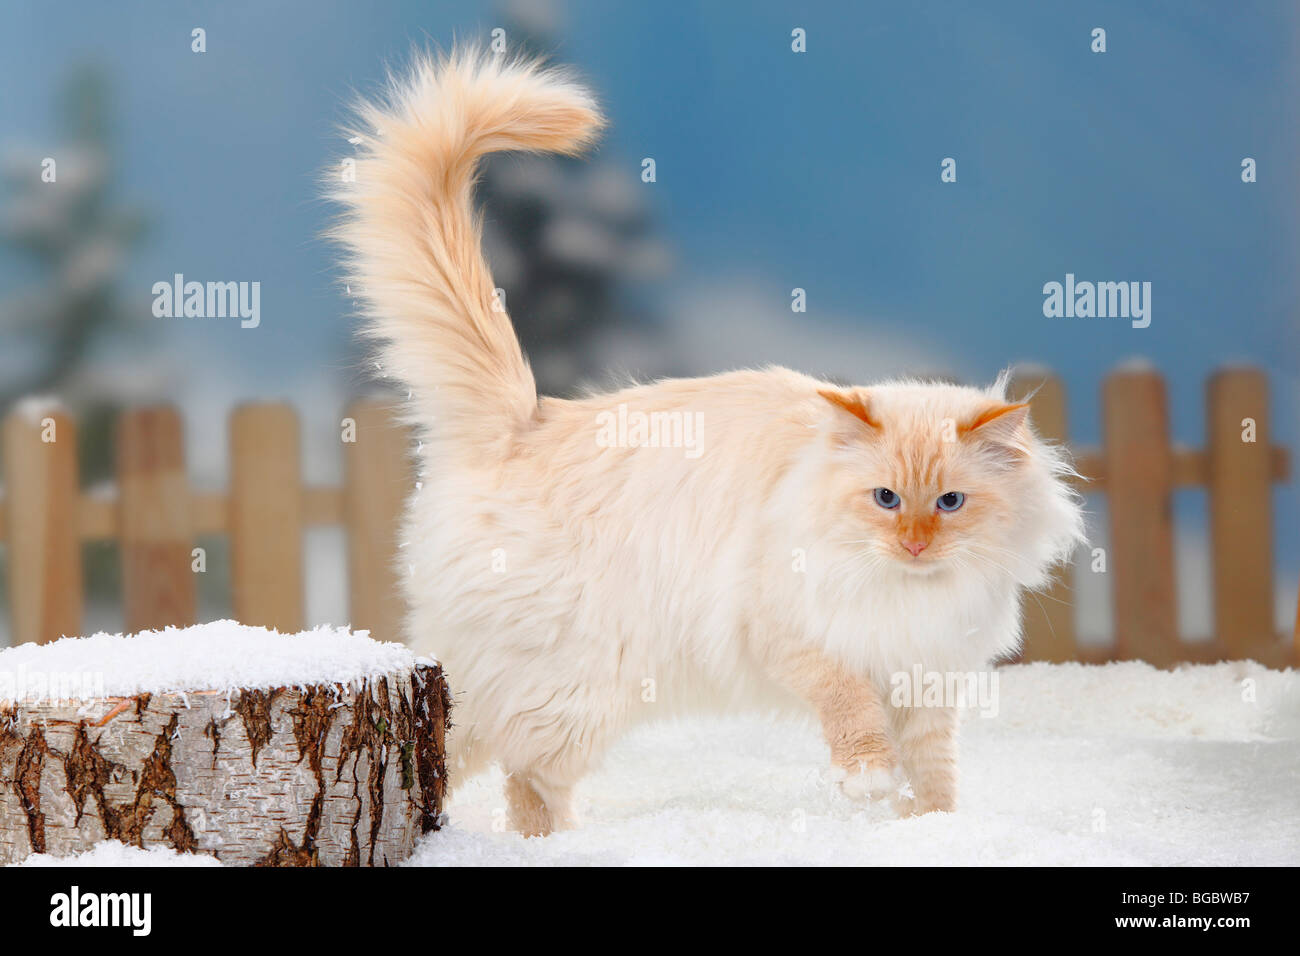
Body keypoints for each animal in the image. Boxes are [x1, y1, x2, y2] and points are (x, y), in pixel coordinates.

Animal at [330, 48, 1081, 832]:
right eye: (885, 498)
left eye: (951, 503)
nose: (914, 545)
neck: (904, 593)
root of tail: (528, 419)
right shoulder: (791, 636)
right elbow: (850, 706)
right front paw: (868, 781)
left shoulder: (927, 681)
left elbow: (934, 778)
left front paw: (931, 831)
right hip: (571, 692)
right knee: (501, 769)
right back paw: (550, 844)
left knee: (491, 763)